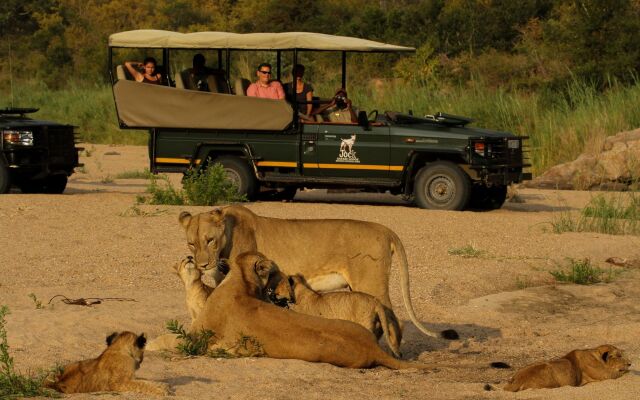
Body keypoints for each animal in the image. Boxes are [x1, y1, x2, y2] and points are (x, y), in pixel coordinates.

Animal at [180, 206, 458, 340]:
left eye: (210, 240)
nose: (202, 265)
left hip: (371, 283)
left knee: (394, 320)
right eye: (191, 244)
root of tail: (386, 229)